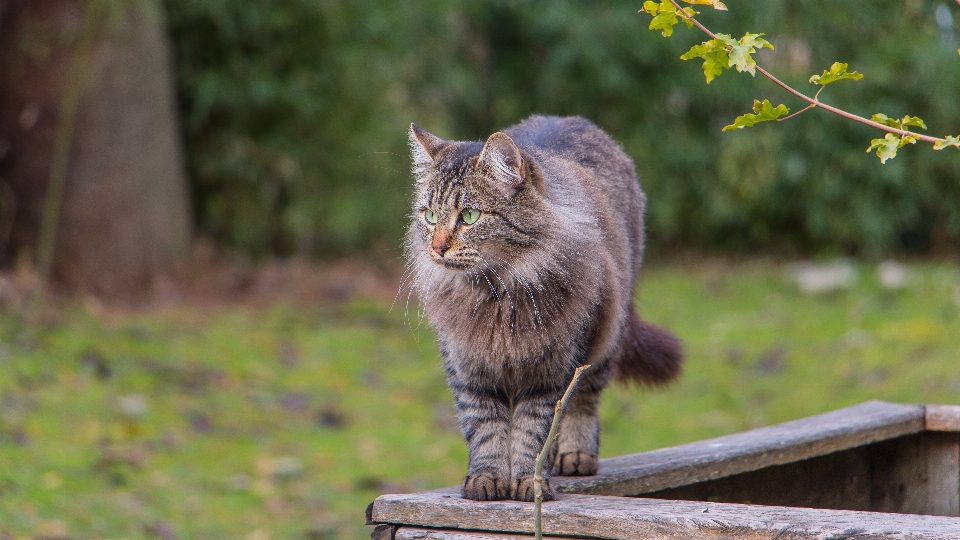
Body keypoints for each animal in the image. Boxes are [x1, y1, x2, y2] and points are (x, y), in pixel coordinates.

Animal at [404, 115, 684, 502]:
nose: (437, 248)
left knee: (584, 401)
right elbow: (485, 428)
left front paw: (529, 482)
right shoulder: (468, 367)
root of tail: (572, 119)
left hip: (605, 338)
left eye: (470, 216)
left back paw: (575, 455)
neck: (498, 295)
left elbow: (534, 431)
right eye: (430, 215)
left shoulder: (552, 371)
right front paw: (486, 479)